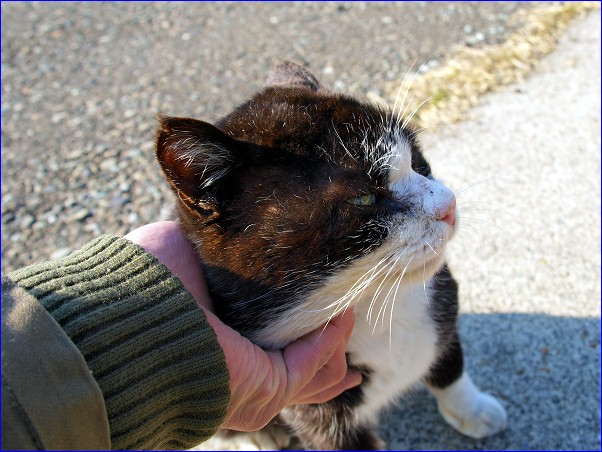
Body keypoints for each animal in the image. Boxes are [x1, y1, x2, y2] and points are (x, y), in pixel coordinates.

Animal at [152, 61, 504, 450]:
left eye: (418, 161)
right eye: (363, 198)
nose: (448, 206)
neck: (377, 309)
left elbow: (450, 365)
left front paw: (473, 410)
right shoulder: (315, 412)